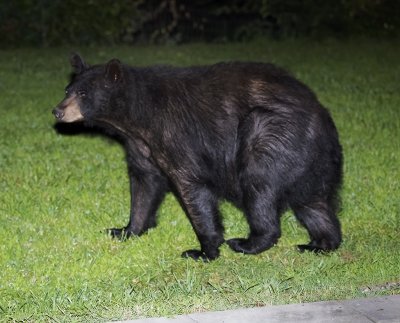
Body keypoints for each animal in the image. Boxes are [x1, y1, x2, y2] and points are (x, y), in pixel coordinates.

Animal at [51, 54, 342, 262]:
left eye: (84, 94)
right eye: (67, 90)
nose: (57, 111)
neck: (136, 117)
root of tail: (323, 117)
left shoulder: (175, 136)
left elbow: (191, 186)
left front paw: (204, 251)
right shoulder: (139, 145)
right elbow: (144, 184)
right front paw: (126, 230)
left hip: (271, 134)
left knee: (259, 185)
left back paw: (248, 243)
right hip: (308, 161)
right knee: (312, 203)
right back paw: (321, 243)